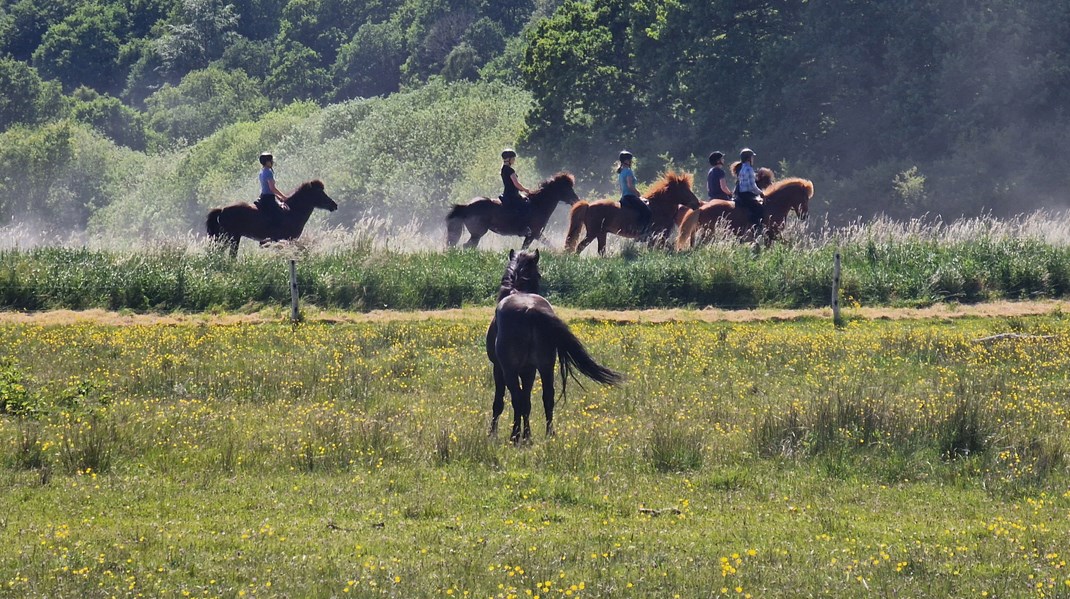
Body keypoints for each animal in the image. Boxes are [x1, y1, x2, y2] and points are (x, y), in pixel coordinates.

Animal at [204, 177, 338, 257]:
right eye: (319, 192)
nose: (334, 205)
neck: (293, 211)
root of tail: (222, 210)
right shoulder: (285, 240)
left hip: (224, 237)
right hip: (231, 237)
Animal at [442, 172, 582, 249]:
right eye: (566, 188)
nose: (576, 200)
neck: (538, 204)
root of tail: (467, 206)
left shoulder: (535, 235)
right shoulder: (534, 234)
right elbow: (541, 246)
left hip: (476, 234)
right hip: (478, 233)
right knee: (467, 246)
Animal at [490, 248, 624, 444]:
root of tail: (530, 310)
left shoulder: (499, 368)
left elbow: (500, 402)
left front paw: (493, 434)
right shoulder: (529, 370)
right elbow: (528, 402)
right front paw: (527, 435)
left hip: (511, 370)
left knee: (517, 399)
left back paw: (515, 437)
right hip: (546, 366)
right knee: (547, 398)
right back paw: (546, 434)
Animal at [564, 169, 706, 254]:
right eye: (684, 190)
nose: (697, 203)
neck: (659, 206)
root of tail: (588, 206)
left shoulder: (656, 238)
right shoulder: (656, 236)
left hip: (601, 233)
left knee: (601, 251)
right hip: (593, 233)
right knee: (580, 247)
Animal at [671, 171, 813, 250]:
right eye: (805, 197)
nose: (805, 216)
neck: (774, 205)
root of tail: (701, 207)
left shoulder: (769, 236)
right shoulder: (774, 234)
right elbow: (787, 244)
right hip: (709, 233)